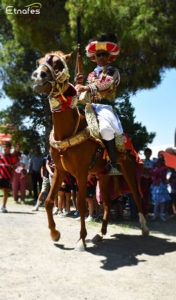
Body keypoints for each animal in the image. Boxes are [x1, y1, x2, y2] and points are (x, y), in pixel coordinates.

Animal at [31, 51, 148, 251]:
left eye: (58, 64)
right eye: (39, 62)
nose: (38, 76)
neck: (67, 131)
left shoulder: (81, 172)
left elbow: (81, 205)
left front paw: (81, 240)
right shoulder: (60, 171)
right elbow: (48, 201)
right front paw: (55, 233)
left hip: (128, 170)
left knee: (137, 195)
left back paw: (144, 228)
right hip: (103, 175)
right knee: (107, 202)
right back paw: (100, 233)